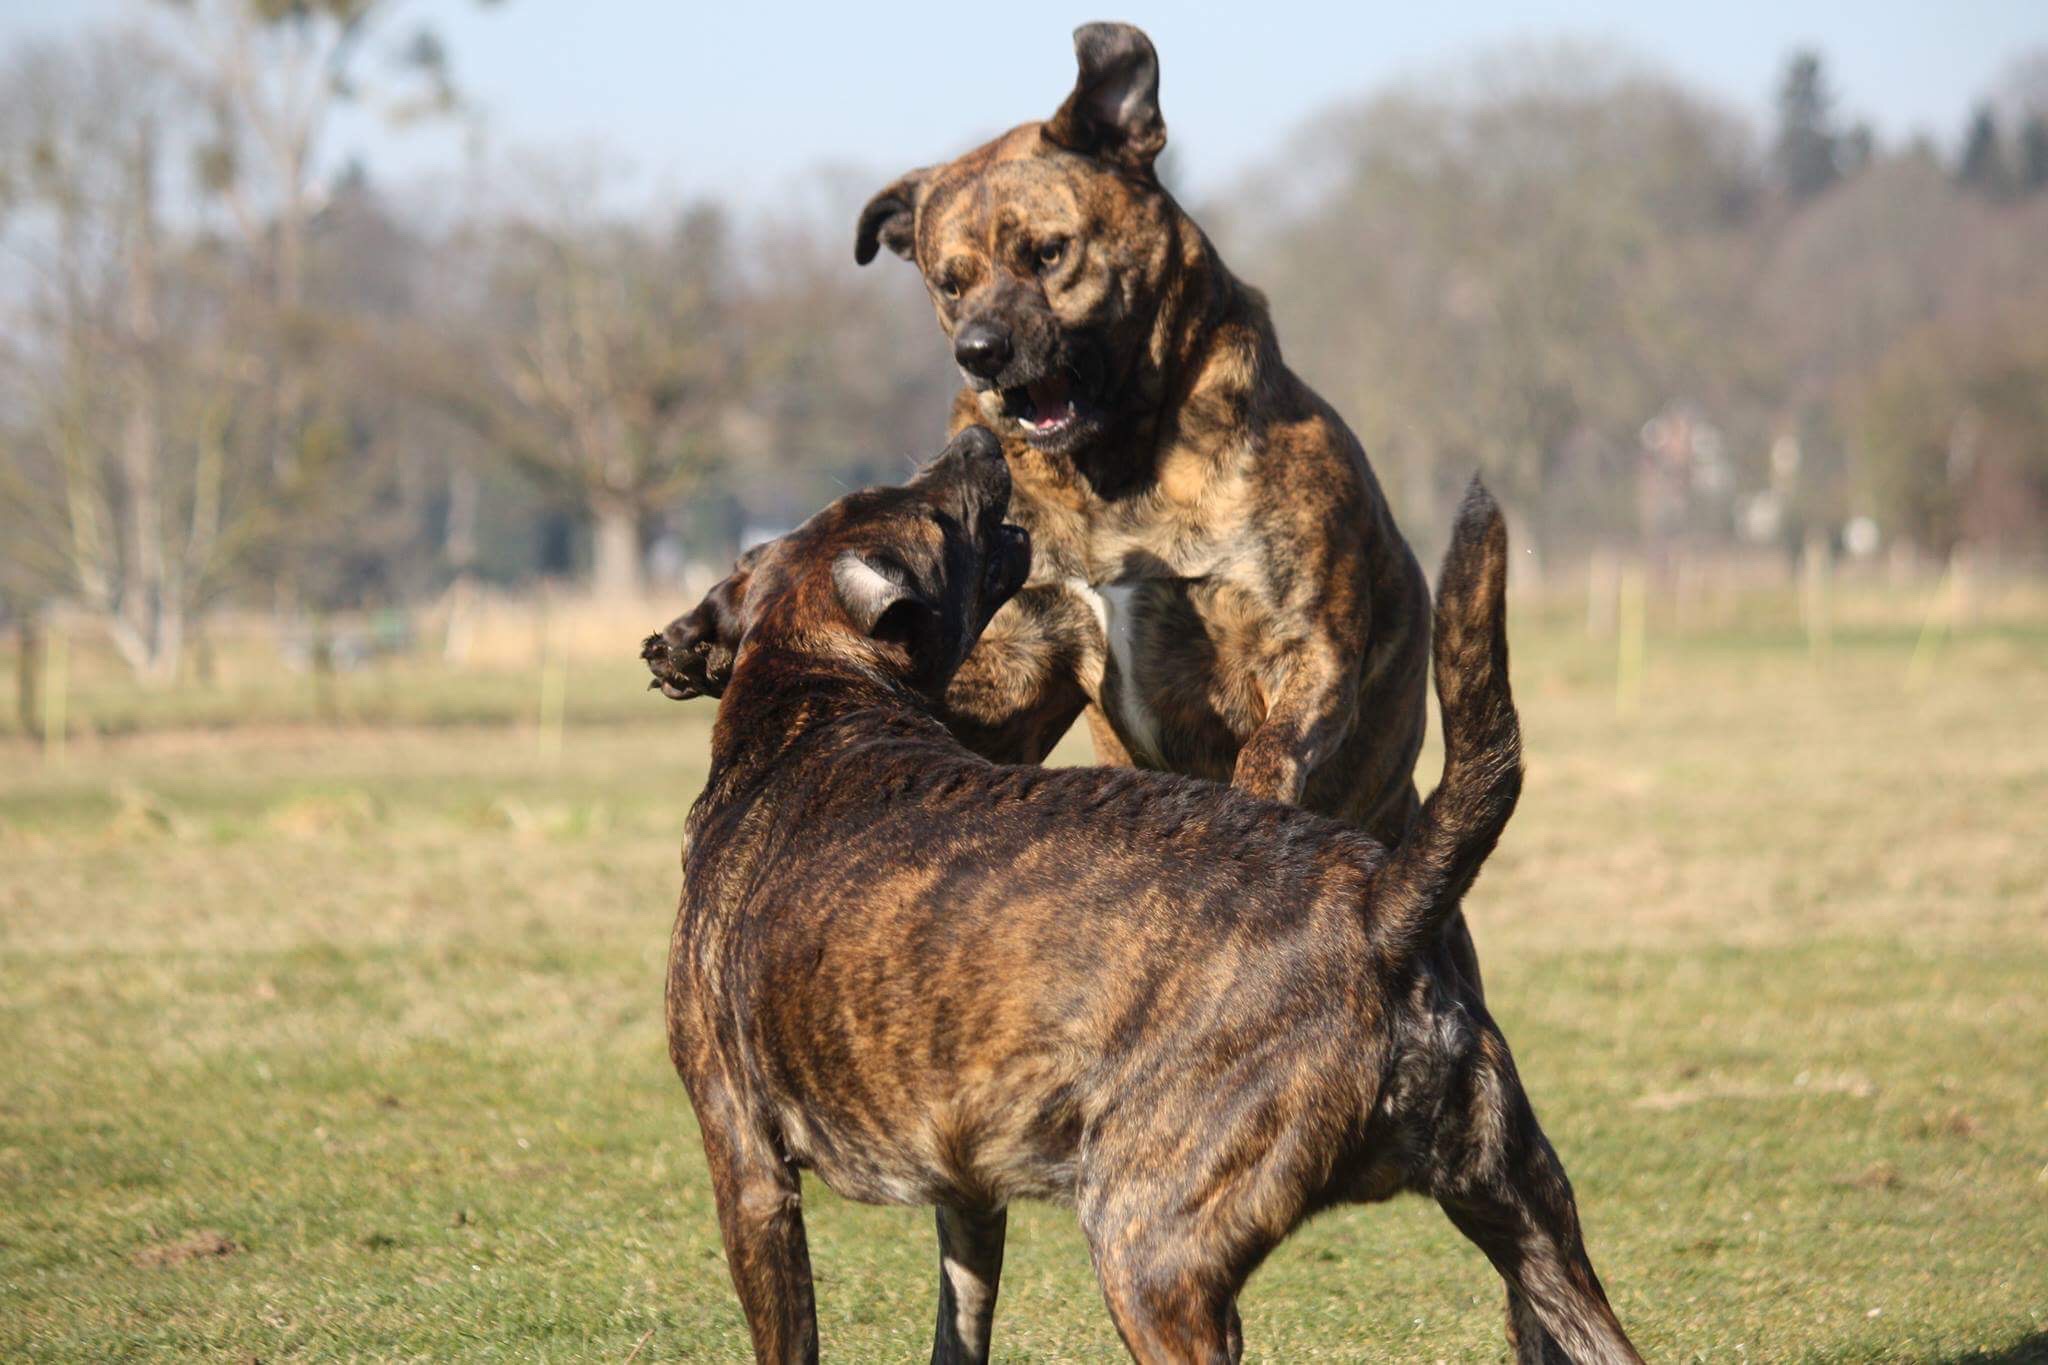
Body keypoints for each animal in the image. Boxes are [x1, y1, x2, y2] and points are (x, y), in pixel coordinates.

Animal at [647, 429, 1638, 1365]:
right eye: (914, 505)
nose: (977, 443)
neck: (816, 694)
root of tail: (1379, 904)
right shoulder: (968, 1193)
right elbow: (958, 1328)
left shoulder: (748, 1170)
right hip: (1529, 1225)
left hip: (1149, 1252)